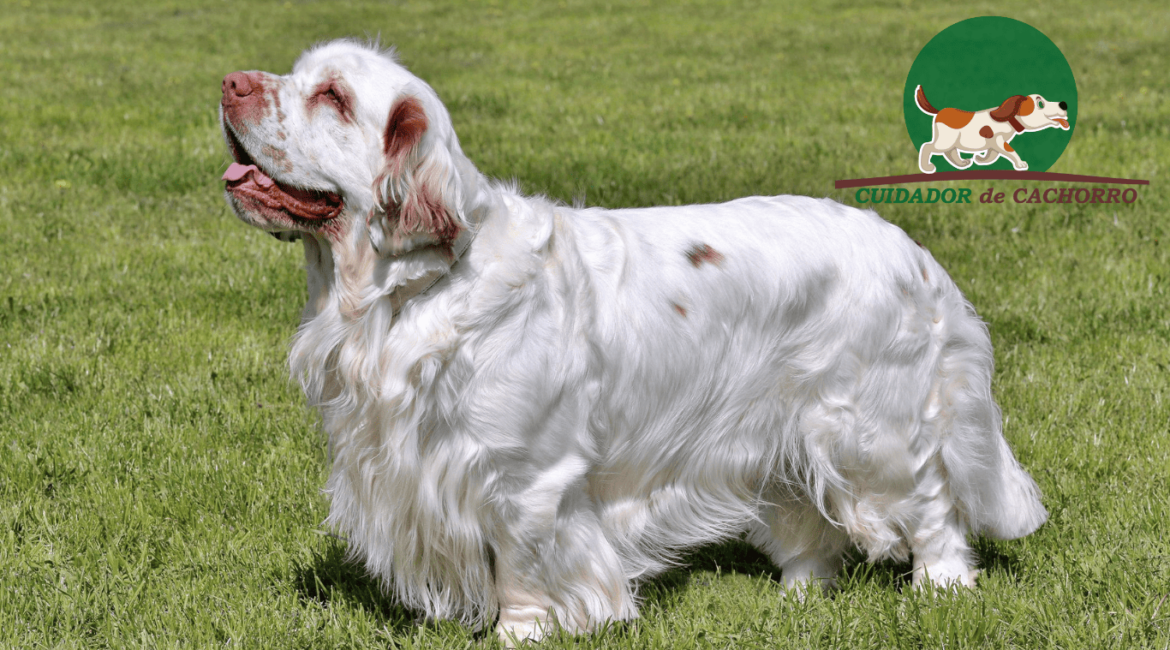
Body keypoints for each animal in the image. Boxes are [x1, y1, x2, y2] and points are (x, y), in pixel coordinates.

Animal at [219, 41, 1043, 645]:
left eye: (332, 97)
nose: (228, 83)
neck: (411, 291)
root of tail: (913, 252)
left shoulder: (526, 477)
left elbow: (521, 567)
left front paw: (519, 634)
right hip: (780, 428)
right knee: (809, 517)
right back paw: (799, 595)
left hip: (869, 428)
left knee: (932, 500)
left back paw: (942, 585)